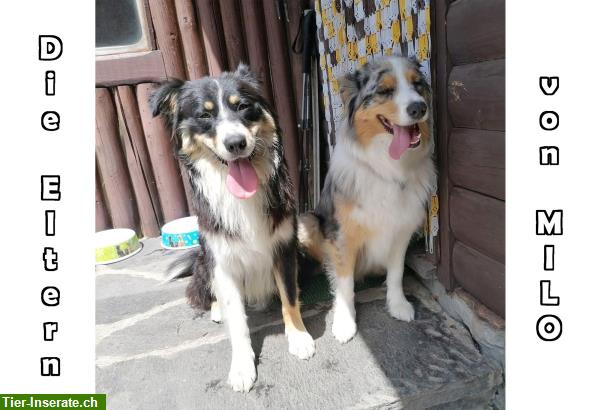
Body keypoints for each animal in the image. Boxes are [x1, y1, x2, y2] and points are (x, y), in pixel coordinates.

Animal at [151, 65, 314, 392]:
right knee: (204, 293)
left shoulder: (285, 248)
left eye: (243, 107)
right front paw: (241, 367)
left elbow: (290, 297)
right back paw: (216, 310)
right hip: (204, 261)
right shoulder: (222, 261)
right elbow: (237, 320)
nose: (236, 143)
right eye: (204, 115)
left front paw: (299, 337)